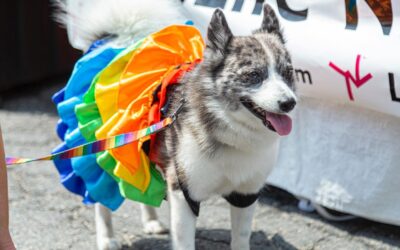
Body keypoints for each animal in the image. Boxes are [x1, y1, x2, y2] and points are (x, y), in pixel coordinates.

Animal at [54, 0, 296, 249]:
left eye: (288, 72)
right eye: (254, 75)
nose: (289, 103)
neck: (227, 124)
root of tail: (113, 39)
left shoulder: (245, 195)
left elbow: (240, 238)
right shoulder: (184, 194)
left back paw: (151, 221)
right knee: (101, 200)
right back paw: (107, 238)